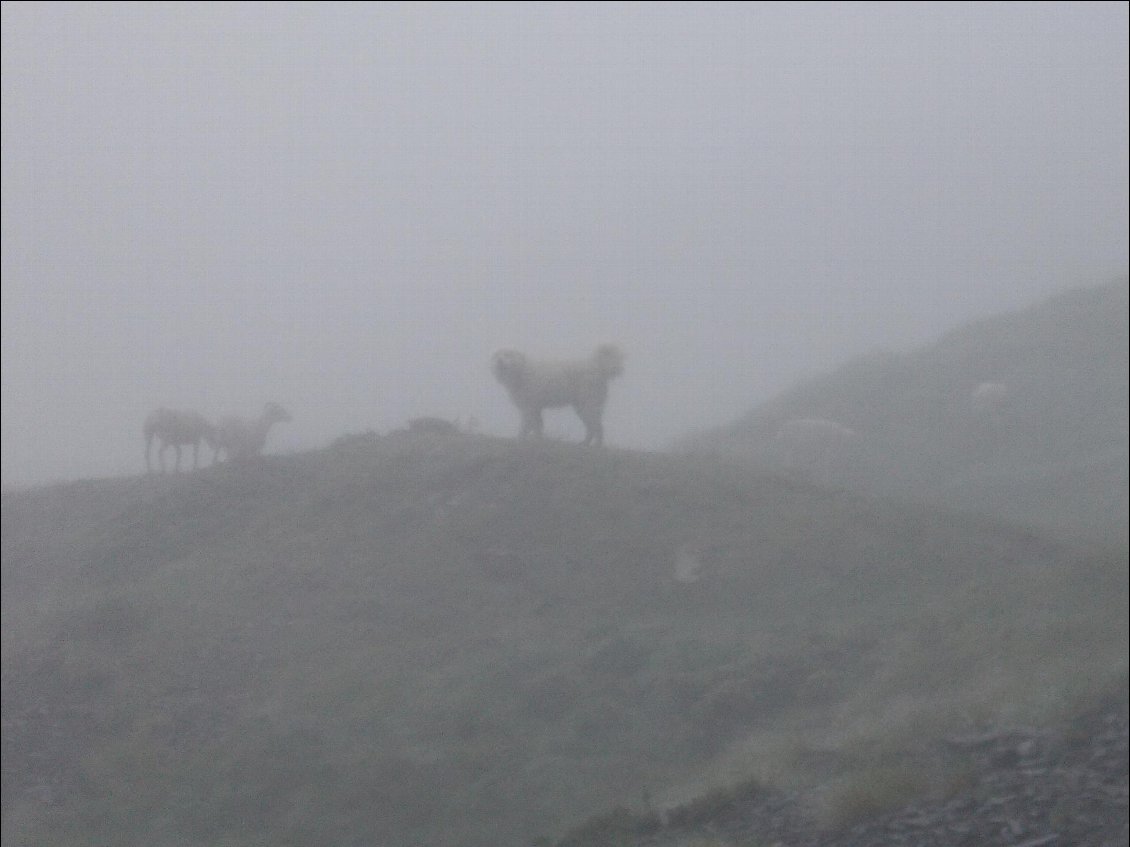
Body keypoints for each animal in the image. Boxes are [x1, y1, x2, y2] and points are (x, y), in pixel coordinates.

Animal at [490, 345, 623, 451]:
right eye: (497, 355)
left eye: (508, 354)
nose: (499, 361)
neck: (521, 371)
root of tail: (597, 367)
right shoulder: (535, 409)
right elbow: (537, 427)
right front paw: (538, 442)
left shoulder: (529, 408)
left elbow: (525, 427)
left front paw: (520, 441)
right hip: (582, 408)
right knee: (592, 428)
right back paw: (584, 444)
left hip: (588, 406)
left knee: (598, 427)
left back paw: (597, 447)